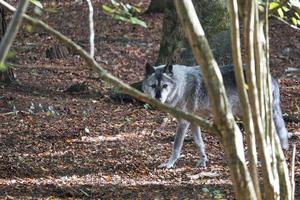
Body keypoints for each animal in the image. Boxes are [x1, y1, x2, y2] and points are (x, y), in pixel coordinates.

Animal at [142, 63, 290, 169]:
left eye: (165, 86)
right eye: (153, 86)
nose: (158, 97)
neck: (181, 86)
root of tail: (271, 77)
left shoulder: (183, 123)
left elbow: (176, 147)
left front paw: (169, 164)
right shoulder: (194, 122)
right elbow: (199, 144)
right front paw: (203, 162)